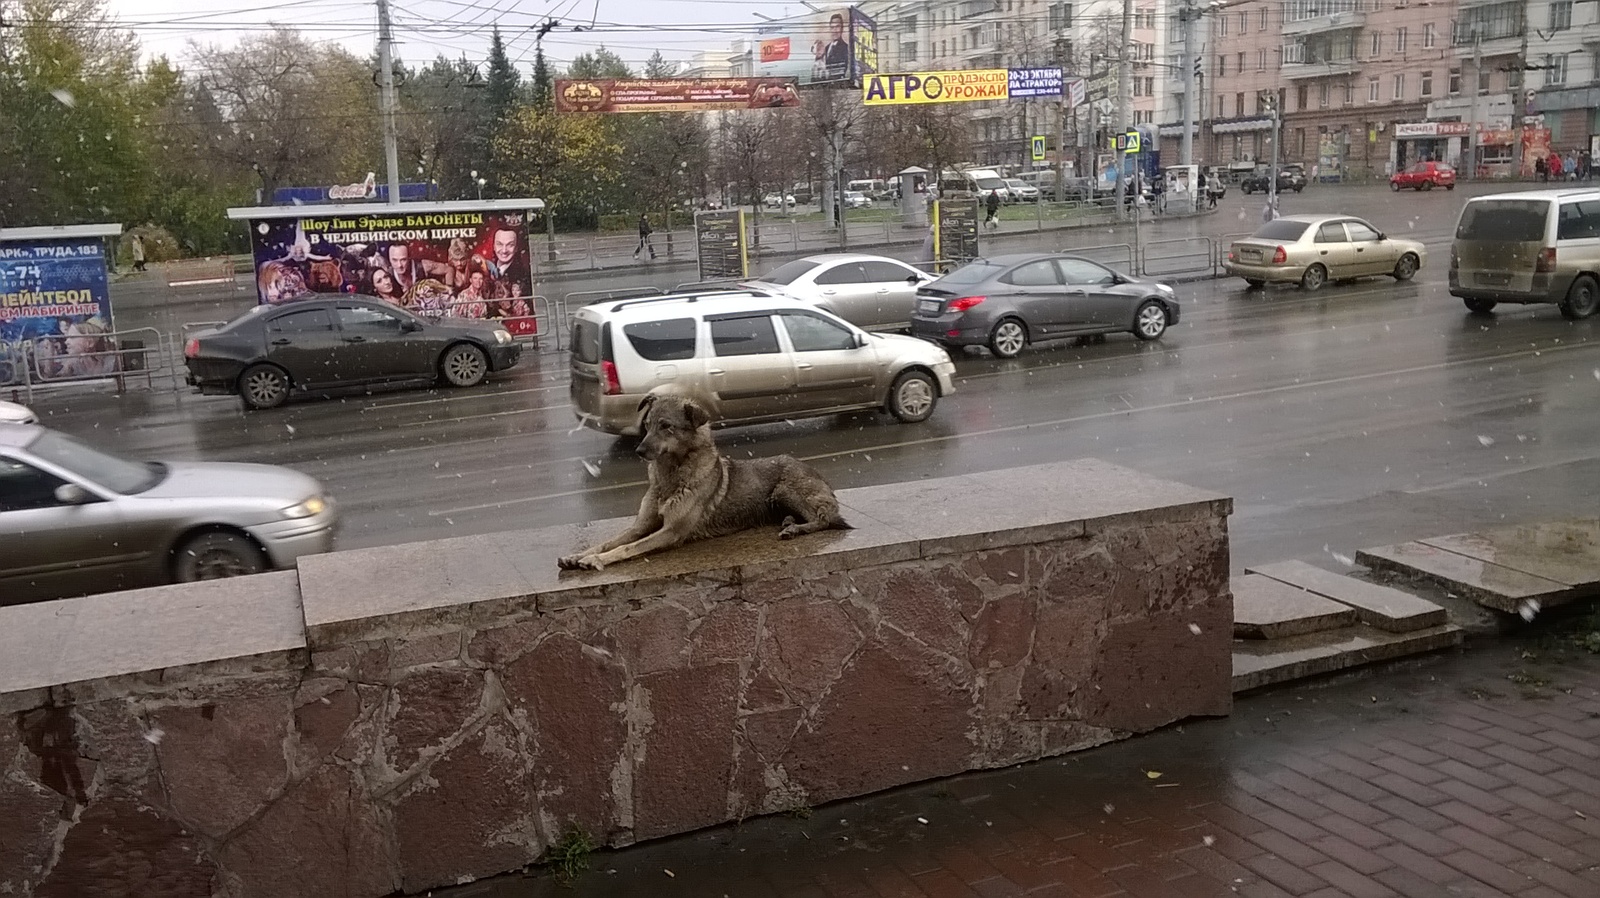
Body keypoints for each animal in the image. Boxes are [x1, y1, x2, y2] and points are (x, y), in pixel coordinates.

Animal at [560, 390, 844, 566]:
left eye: (666, 426)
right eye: (647, 425)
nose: (639, 451)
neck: (670, 477)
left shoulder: (671, 531)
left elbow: (627, 548)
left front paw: (596, 560)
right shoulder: (641, 526)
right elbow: (607, 542)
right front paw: (579, 555)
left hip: (783, 490)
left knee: (823, 520)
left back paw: (796, 528)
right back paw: (788, 522)